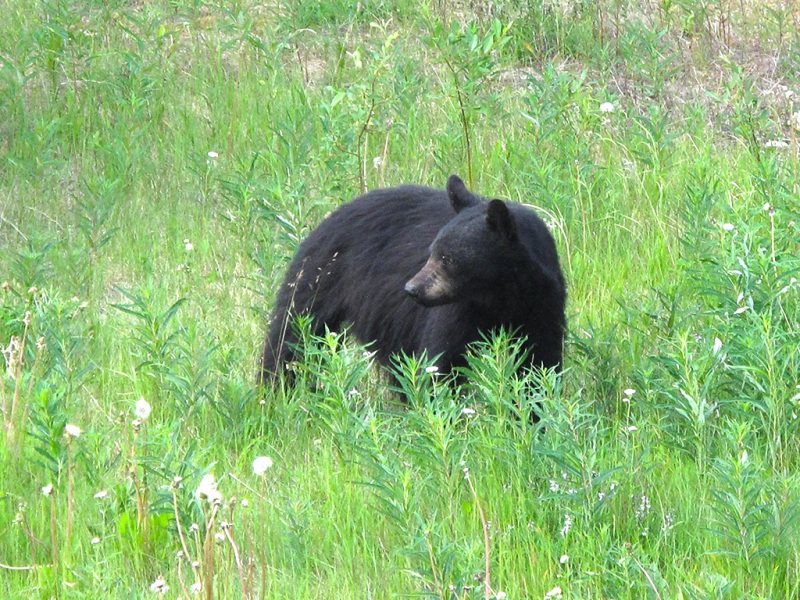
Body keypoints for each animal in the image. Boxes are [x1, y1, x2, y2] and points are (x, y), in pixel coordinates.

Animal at [258, 174, 566, 389]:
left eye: (448, 259)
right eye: (432, 252)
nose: (412, 289)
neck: (500, 298)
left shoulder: (543, 306)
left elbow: (540, 364)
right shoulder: (459, 311)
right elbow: (442, 360)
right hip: (321, 276)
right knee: (292, 334)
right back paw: (276, 390)